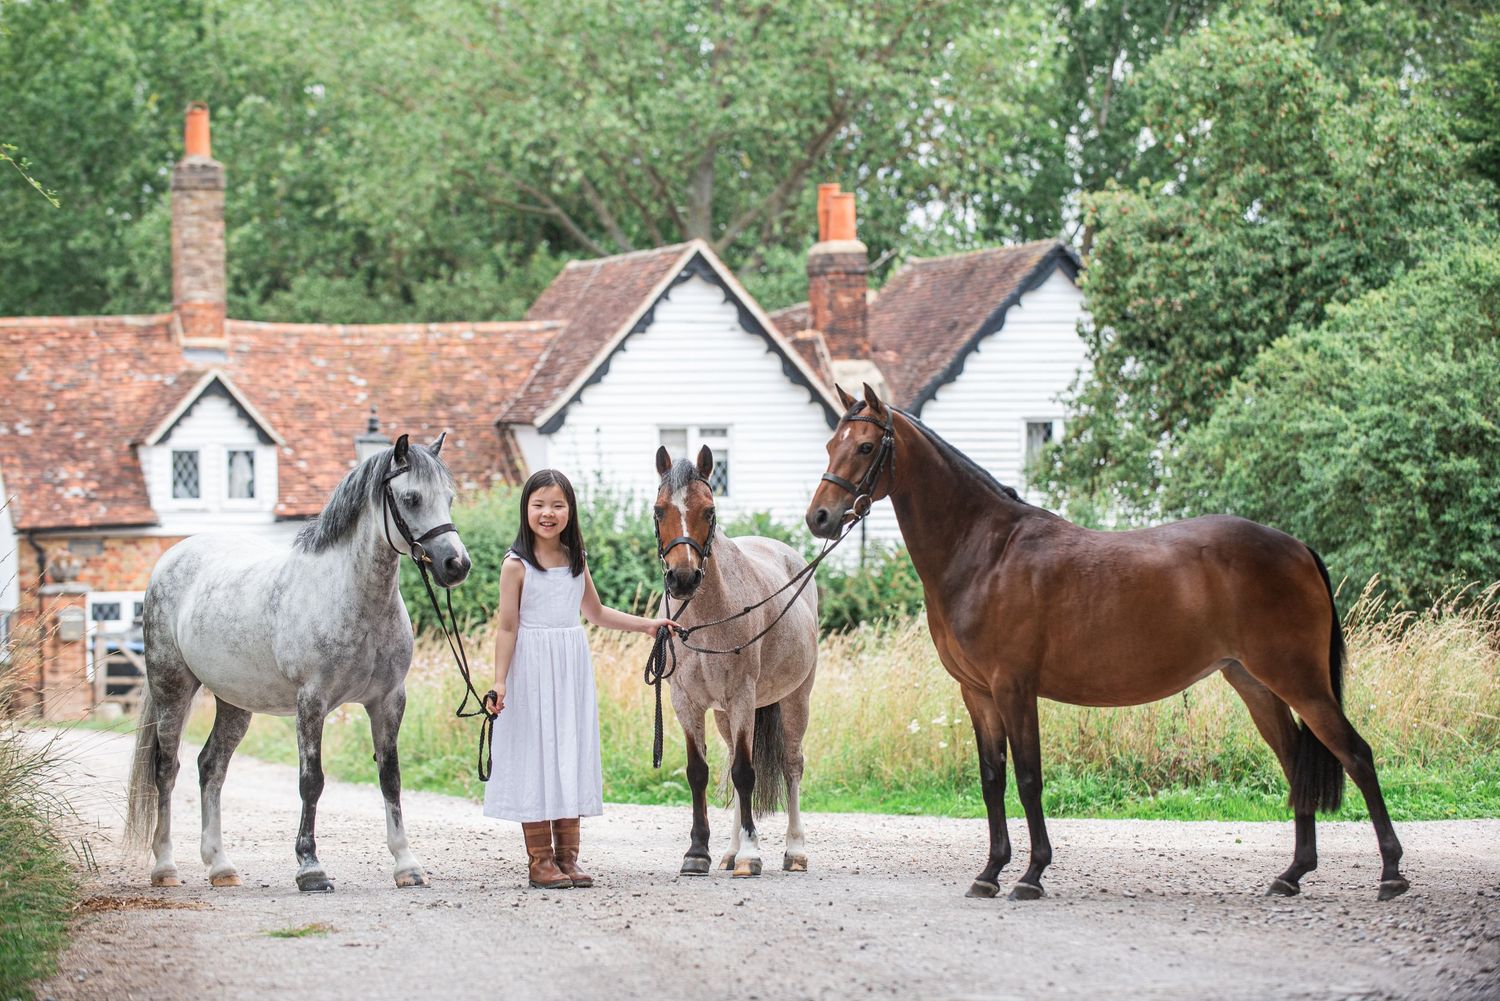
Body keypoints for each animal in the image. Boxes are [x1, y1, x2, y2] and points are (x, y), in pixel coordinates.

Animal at [124, 433, 471, 892]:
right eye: (411, 498)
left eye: (448, 497)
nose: (457, 565)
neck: (352, 597)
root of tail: (171, 558)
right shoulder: (312, 702)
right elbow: (312, 782)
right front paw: (310, 868)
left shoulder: (389, 701)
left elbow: (390, 779)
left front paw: (406, 865)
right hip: (172, 689)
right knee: (167, 770)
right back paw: (165, 866)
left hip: (234, 702)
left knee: (211, 767)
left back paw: (220, 866)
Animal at [652, 445, 819, 877]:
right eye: (659, 510)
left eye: (709, 510)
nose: (682, 579)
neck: (707, 616)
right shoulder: (687, 703)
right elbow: (700, 772)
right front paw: (699, 852)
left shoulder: (743, 697)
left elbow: (746, 774)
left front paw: (751, 854)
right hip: (726, 715)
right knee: (730, 761)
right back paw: (728, 852)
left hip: (796, 698)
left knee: (792, 764)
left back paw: (795, 851)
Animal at [805, 384, 1408, 902]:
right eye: (831, 444)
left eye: (865, 446)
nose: (820, 518)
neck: (985, 552)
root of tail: (1297, 548)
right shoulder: (976, 694)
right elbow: (992, 780)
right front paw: (990, 872)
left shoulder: (1014, 687)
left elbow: (1028, 778)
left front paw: (1031, 875)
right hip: (1255, 683)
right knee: (1295, 761)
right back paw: (1292, 874)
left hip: (1299, 680)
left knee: (1356, 754)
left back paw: (1391, 874)